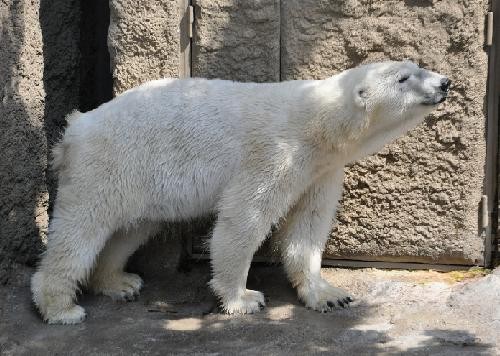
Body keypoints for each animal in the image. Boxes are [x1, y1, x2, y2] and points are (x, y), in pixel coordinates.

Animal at [33, 62, 452, 326]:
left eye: (419, 66)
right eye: (404, 77)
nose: (445, 82)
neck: (320, 123)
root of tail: (75, 128)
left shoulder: (321, 169)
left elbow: (308, 225)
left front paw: (329, 294)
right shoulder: (278, 153)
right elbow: (244, 217)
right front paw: (243, 298)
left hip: (137, 180)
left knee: (131, 228)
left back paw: (119, 282)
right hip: (107, 165)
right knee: (81, 230)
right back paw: (60, 308)